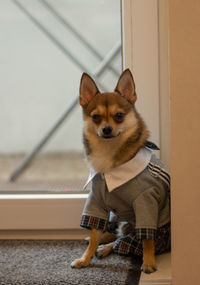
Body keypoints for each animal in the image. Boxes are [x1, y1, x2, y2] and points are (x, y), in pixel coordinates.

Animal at [70, 69, 170, 272]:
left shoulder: (146, 203)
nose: (106, 129)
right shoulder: (96, 201)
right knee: (115, 234)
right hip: (116, 216)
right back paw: (102, 242)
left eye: (119, 115)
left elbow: (147, 239)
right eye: (95, 117)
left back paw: (107, 247)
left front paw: (149, 262)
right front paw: (85, 258)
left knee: (123, 240)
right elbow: (94, 232)